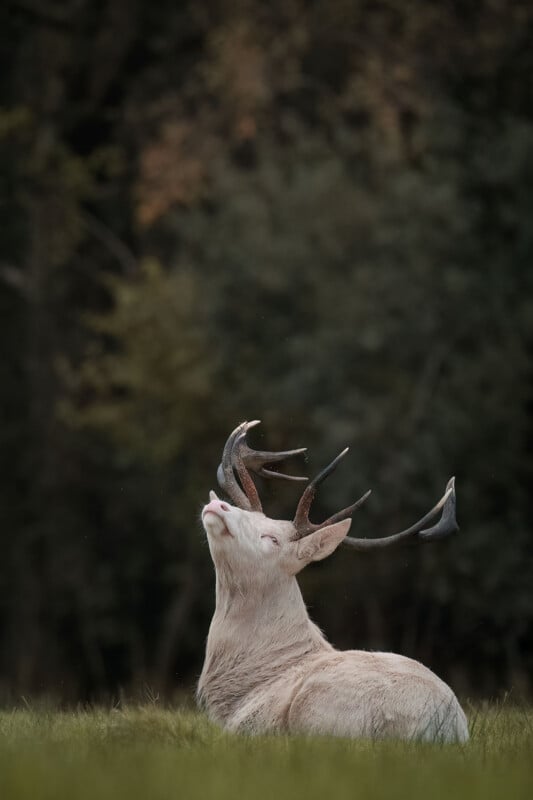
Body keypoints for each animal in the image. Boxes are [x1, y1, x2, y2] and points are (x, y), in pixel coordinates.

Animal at [197, 421, 469, 742]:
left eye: (272, 538)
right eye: (242, 512)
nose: (219, 506)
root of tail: (443, 728)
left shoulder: (248, 726)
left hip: (317, 706)